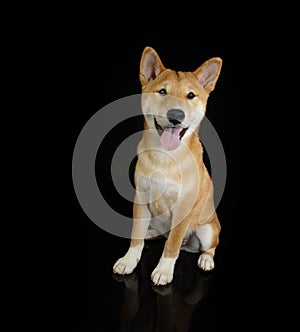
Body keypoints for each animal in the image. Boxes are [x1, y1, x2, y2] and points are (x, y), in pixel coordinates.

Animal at [113, 46, 221, 286]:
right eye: (162, 91)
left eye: (190, 95)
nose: (176, 115)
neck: (165, 157)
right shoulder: (141, 198)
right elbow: (136, 234)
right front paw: (129, 260)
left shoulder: (183, 207)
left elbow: (172, 244)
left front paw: (164, 270)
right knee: (160, 233)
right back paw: (151, 233)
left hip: (209, 230)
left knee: (209, 247)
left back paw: (206, 259)